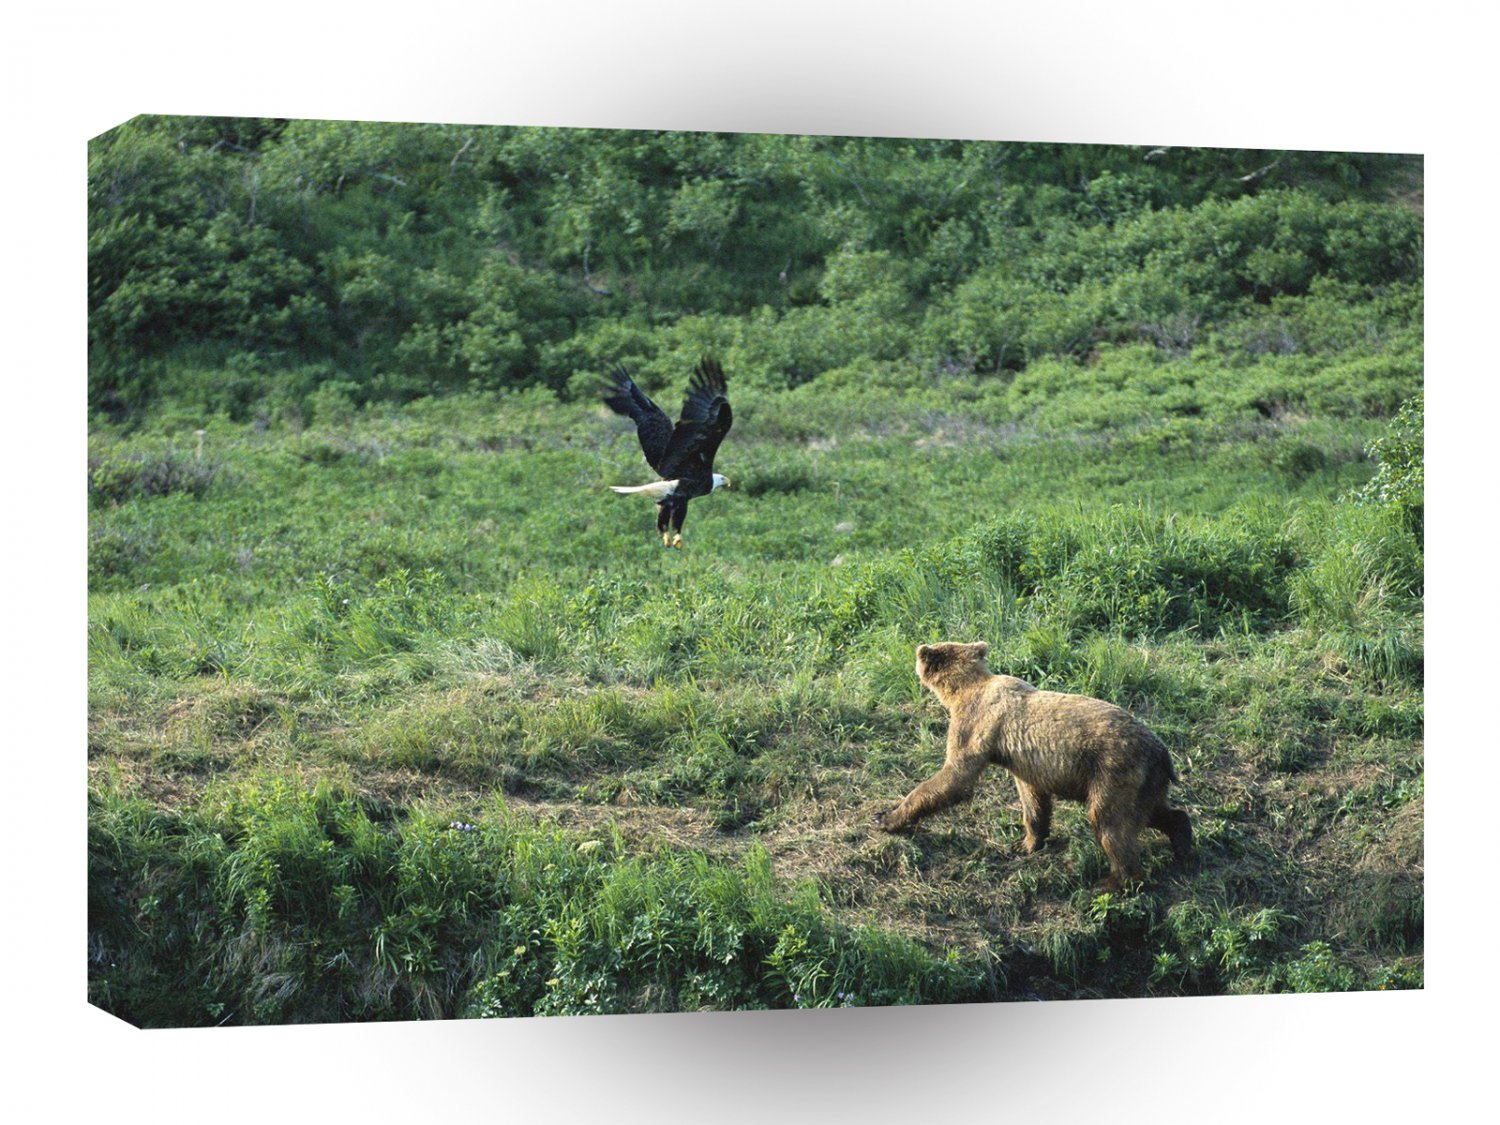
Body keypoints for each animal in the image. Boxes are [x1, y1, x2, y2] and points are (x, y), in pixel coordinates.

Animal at [876, 641, 1193, 892]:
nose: (920, 649)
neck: (964, 689)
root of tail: (1162, 753)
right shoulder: (1024, 763)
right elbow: (1033, 801)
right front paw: (1024, 843)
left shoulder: (975, 724)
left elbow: (955, 776)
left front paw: (888, 817)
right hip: (1144, 783)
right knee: (1154, 813)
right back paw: (1182, 845)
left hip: (1113, 772)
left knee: (1110, 823)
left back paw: (1112, 881)